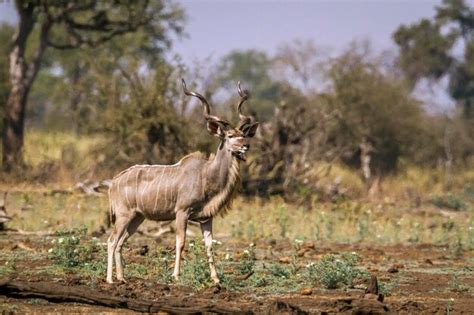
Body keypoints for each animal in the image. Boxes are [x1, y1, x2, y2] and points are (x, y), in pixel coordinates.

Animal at [106, 79, 260, 286]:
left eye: (243, 135)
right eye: (229, 136)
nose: (246, 146)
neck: (206, 175)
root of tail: (114, 182)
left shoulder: (206, 218)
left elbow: (209, 246)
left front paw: (216, 279)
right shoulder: (181, 212)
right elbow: (180, 242)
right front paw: (176, 275)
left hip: (136, 217)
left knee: (120, 242)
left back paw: (122, 278)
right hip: (123, 215)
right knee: (111, 241)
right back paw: (109, 280)